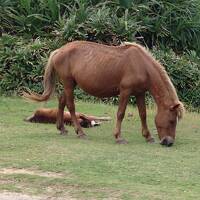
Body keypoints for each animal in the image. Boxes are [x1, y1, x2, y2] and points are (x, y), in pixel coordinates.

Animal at [23, 41, 184, 147]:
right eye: (171, 121)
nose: (168, 142)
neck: (142, 66)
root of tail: (58, 51)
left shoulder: (139, 93)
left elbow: (143, 114)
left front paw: (148, 136)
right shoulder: (125, 91)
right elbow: (120, 113)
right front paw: (118, 137)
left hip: (70, 84)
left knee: (61, 101)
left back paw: (62, 128)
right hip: (68, 84)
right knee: (70, 106)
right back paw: (80, 132)